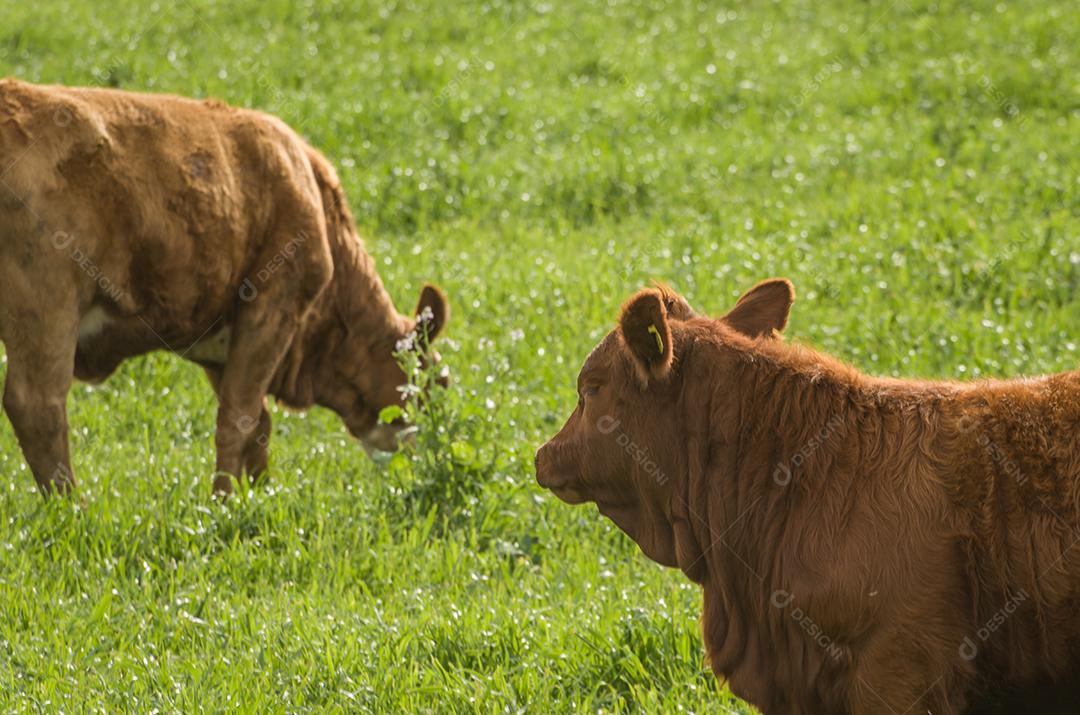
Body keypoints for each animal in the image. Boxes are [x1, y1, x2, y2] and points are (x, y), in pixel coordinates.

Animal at [0, 75, 447, 496]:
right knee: (38, 406)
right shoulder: (273, 305)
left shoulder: (222, 342)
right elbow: (239, 417)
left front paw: (261, 492)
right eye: (436, 382)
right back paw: (72, 508)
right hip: (49, 306)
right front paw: (223, 503)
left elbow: (259, 422)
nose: (428, 448)